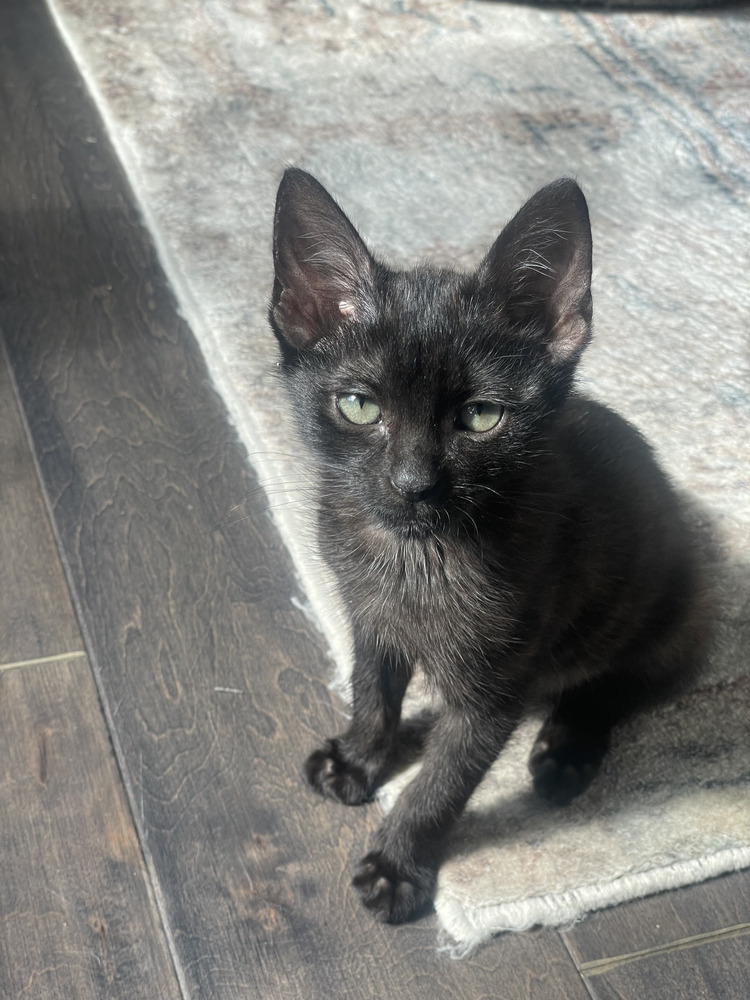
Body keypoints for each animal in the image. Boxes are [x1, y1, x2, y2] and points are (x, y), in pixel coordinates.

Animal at [270, 168, 712, 924]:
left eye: (480, 417)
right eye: (359, 405)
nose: (413, 483)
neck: (414, 559)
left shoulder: (495, 691)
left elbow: (443, 781)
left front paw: (397, 865)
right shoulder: (370, 620)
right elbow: (371, 691)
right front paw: (359, 759)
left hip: (673, 616)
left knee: (622, 685)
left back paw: (565, 754)